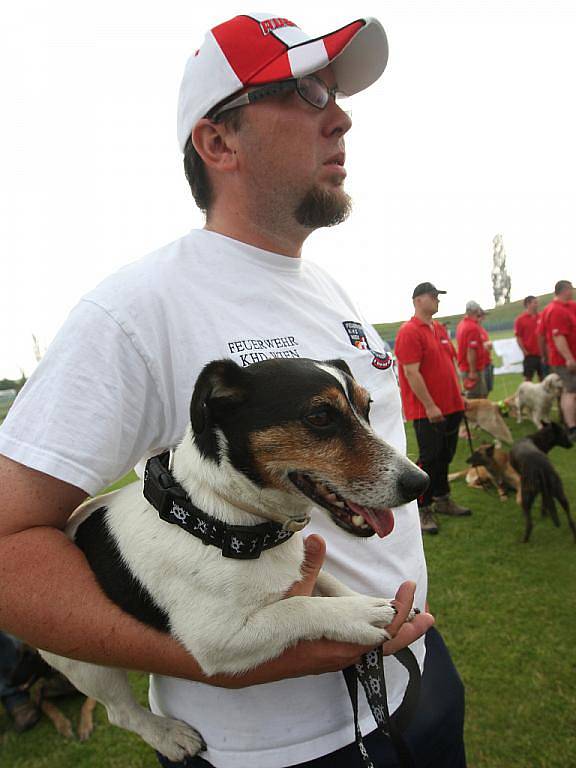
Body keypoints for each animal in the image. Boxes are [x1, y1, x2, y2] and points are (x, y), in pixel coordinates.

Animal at [40, 356, 428, 760]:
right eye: (320, 416)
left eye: (367, 408)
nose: (421, 482)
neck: (220, 519)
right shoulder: (216, 641)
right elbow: (296, 608)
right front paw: (356, 614)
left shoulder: (298, 564)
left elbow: (327, 578)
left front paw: (368, 601)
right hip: (83, 662)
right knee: (120, 712)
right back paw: (169, 735)